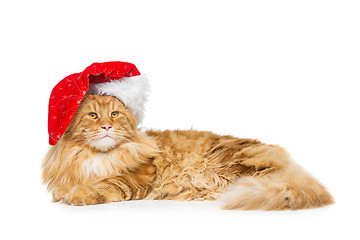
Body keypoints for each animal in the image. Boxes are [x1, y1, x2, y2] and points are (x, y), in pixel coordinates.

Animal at [41, 94, 332, 210]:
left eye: (114, 114)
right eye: (92, 115)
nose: (106, 126)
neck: (95, 156)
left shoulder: (138, 177)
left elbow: (104, 185)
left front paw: (76, 195)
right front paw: (64, 193)